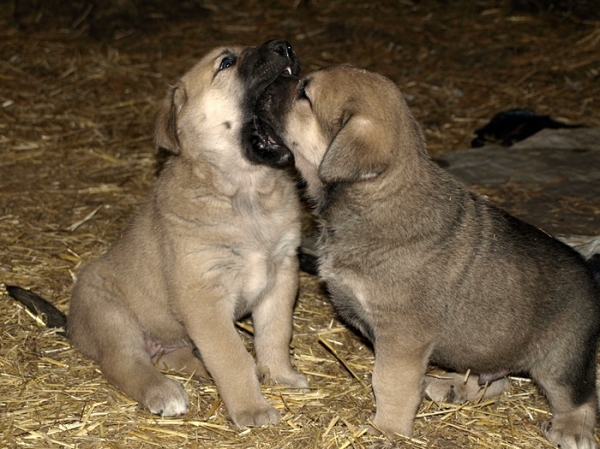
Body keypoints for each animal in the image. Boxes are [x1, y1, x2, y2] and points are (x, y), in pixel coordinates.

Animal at [8, 39, 310, 428]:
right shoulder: (204, 296)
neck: (246, 193)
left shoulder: (282, 274)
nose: (285, 46)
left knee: (173, 357)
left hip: (169, 336)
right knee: (126, 363)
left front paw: (280, 375)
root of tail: (72, 324)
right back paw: (164, 392)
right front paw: (252, 408)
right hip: (111, 316)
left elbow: (275, 333)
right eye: (226, 62)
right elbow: (232, 355)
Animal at [248, 65, 600, 446]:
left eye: (305, 93)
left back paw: (570, 430)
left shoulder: (403, 335)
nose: (270, 77)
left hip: (561, 357)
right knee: (496, 379)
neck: (374, 196)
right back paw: (454, 387)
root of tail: (589, 272)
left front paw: (388, 429)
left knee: (578, 397)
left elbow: (389, 381)